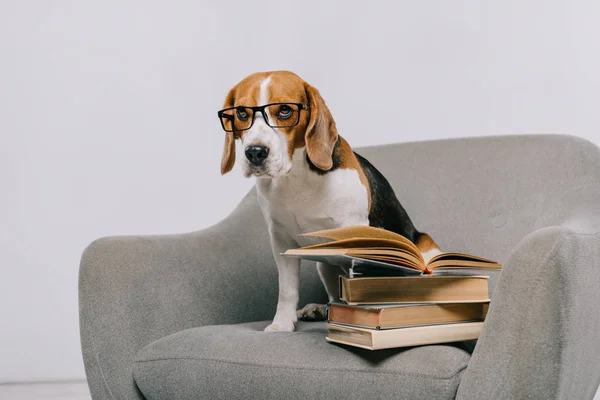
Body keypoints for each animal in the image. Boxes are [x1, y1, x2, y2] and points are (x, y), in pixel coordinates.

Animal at [218, 69, 438, 332]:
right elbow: (287, 289)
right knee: (335, 298)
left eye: (285, 110)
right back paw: (321, 309)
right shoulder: (280, 240)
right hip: (322, 263)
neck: (296, 176)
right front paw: (282, 324)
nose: (255, 153)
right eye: (242, 112)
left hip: (426, 249)